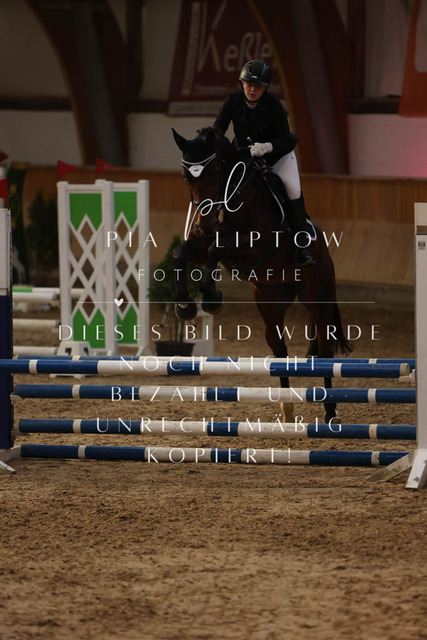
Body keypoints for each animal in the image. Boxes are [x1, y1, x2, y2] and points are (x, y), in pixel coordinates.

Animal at [171, 126, 351, 423]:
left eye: (216, 171)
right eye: (186, 176)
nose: (205, 224)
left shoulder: (257, 246)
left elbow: (217, 247)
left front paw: (210, 295)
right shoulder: (200, 245)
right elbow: (182, 253)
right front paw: (185, 304)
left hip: (318, 299)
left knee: (325, 350)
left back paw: (330, 411)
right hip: (270, 302)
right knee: (279, 350)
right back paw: (287, 411)